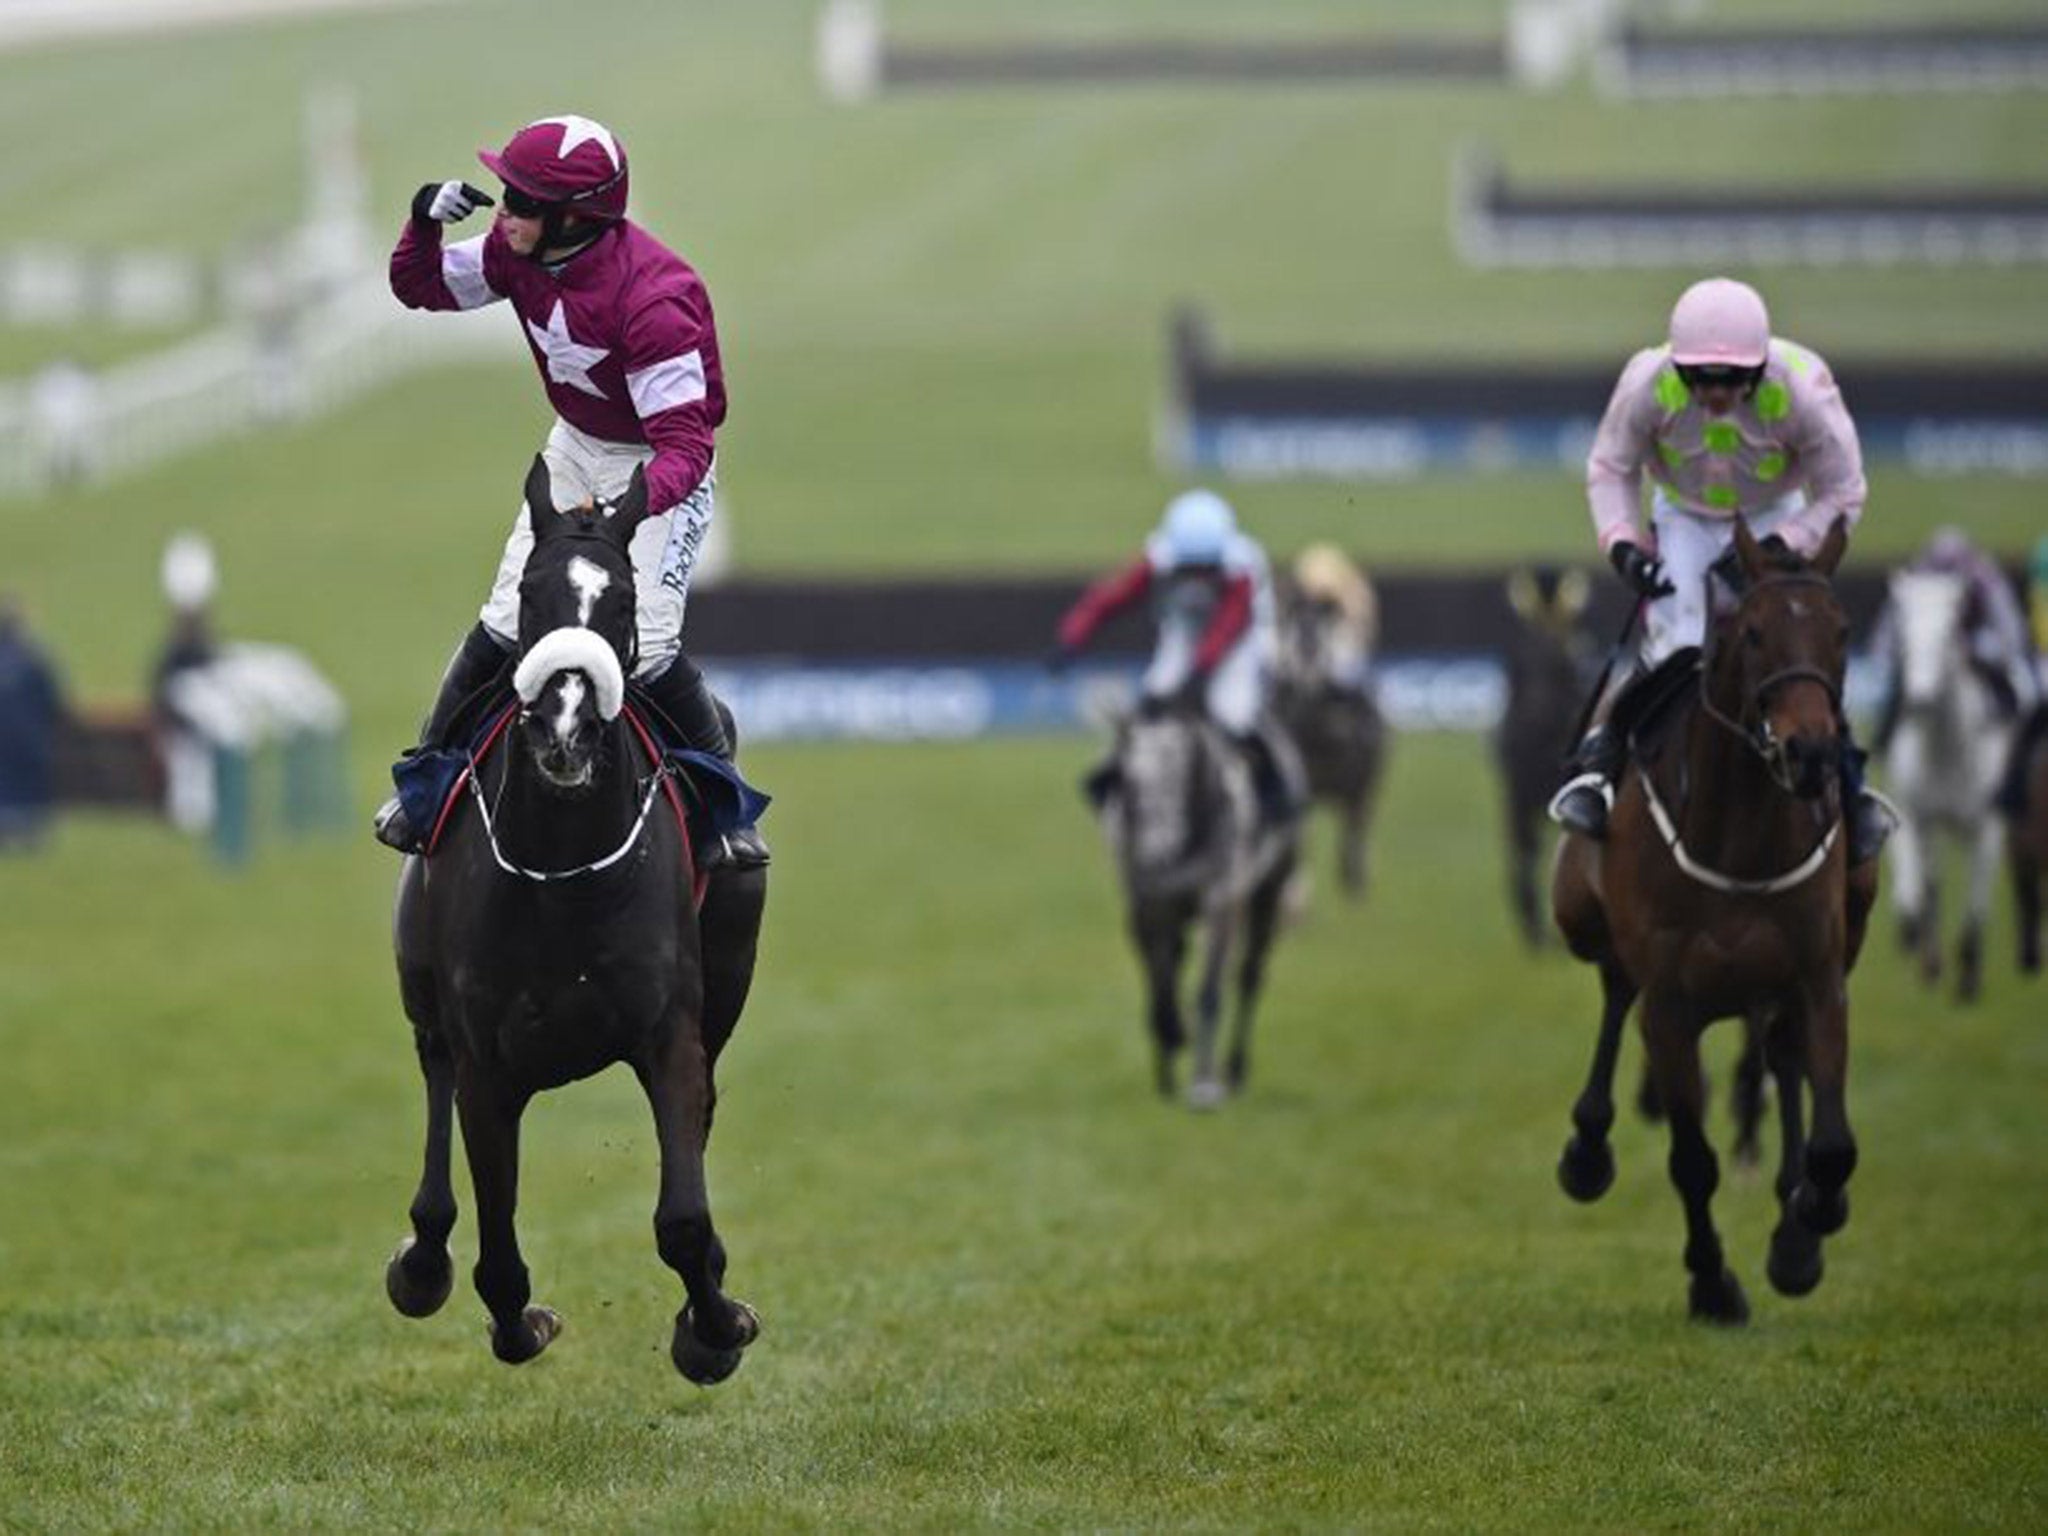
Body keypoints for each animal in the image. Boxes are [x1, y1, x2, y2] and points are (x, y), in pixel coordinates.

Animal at [385, 456, 770, 1384]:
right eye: (531, 594)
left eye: (624, 599)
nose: (563, 730)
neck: (562, 876)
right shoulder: (487, 1061)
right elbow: (497, 1256)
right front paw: (520, 1322)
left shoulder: (670, 1033)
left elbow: (684, 1219)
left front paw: (712, 1329)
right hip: (424, 992)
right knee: (433, 1085)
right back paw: (421, 1261)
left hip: (729, 977)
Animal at [1105, 704, 1294, 1114]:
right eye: (1130, 785)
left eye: (1184, 780)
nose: (1155, 856)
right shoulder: (1145, 905)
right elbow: (1159, 986)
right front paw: (1172, 1042)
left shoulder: (1220, 901)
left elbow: (1208, 992)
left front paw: (1204, 1085)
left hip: (1267, 893)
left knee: (1249, 976)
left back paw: (1235, 1069)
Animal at [1548, 524, 1875, 1327]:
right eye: (1753, 633)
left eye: (1842, 631)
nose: (1810, 751)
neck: (1742, 839)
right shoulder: (1670, 1001)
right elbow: (1691, 1160)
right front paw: (1712, 1283)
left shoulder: (1821, 976)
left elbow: (1831, 1145)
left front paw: (1804, 1230)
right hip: (1580, 916)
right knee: (1615, 991)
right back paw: (1588, 1149)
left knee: (1782, 1057)